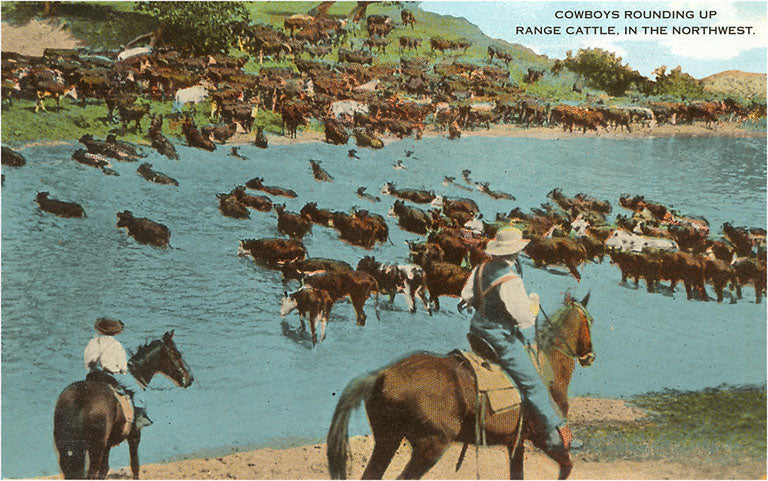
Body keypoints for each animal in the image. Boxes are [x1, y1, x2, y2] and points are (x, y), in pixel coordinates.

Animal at [53, 331, 193, 479]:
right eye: (177, 354)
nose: (190, 378)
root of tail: (80, 396)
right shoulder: (135, 434)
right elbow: (135, 465)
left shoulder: (107, 445)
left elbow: (105, 469)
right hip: (95, 448)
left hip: (66, 448)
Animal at [327, 293, 595, 480]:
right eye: (589, 321)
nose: (590, 356)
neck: (548, 367)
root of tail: (383, 374)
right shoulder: (549, 442)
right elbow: (567, 467)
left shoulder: (515, 444)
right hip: (429, 448)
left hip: (387, 440)